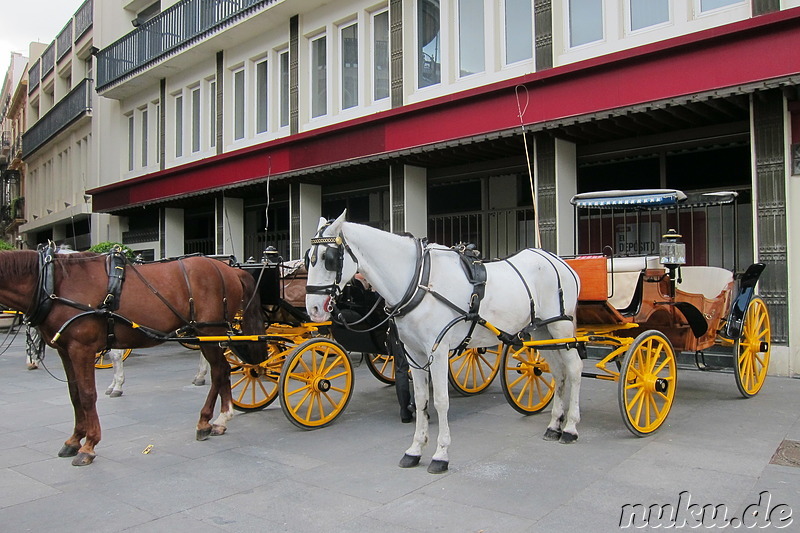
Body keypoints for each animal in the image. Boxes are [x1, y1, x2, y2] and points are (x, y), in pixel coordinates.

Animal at [0, 249, 266, 466]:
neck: (54, 281)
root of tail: (229, 269)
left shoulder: (82, 348)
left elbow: (87, 395)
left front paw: (89, 445)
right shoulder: (66, 350)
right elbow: (75, 395)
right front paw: (74, 440)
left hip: (209, 331)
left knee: (219, 370)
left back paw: (210, 420)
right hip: (207, 333)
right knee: (222, 370)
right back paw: (219, 420)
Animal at [306, 210, 580, 472]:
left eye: (329, 258)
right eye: (309, 257)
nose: (314, 309)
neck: (418, 281)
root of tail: (559, 261)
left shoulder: (437, 352)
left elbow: (440, 400)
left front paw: (441, 454)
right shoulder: (413, 353)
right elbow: (420, 399)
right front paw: (415, 450)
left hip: (561, 325)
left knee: (574, 369)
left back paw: (570, 428)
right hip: (541, 331)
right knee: (558, 372)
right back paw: (554, 425)